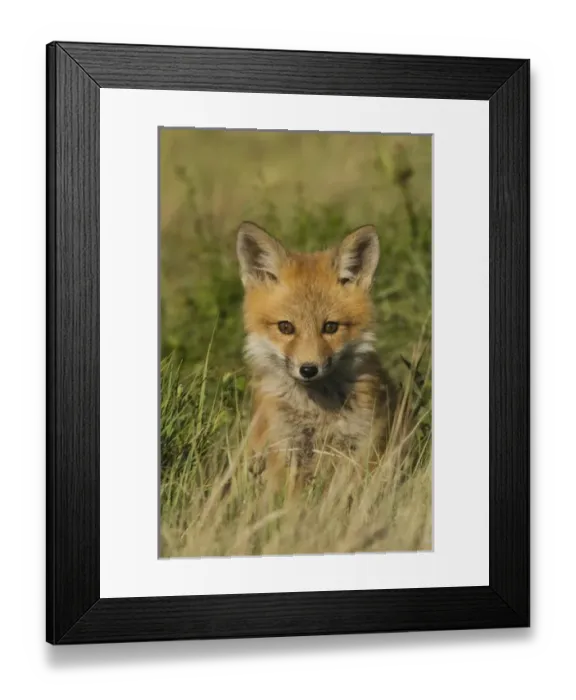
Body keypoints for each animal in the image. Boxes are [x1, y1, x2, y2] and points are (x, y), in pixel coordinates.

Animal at [236, 221, 400, 492]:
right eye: (286, 327)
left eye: (330, 327)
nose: (308, 369)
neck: (316, 410)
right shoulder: (285, 445)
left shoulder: (360, 443)